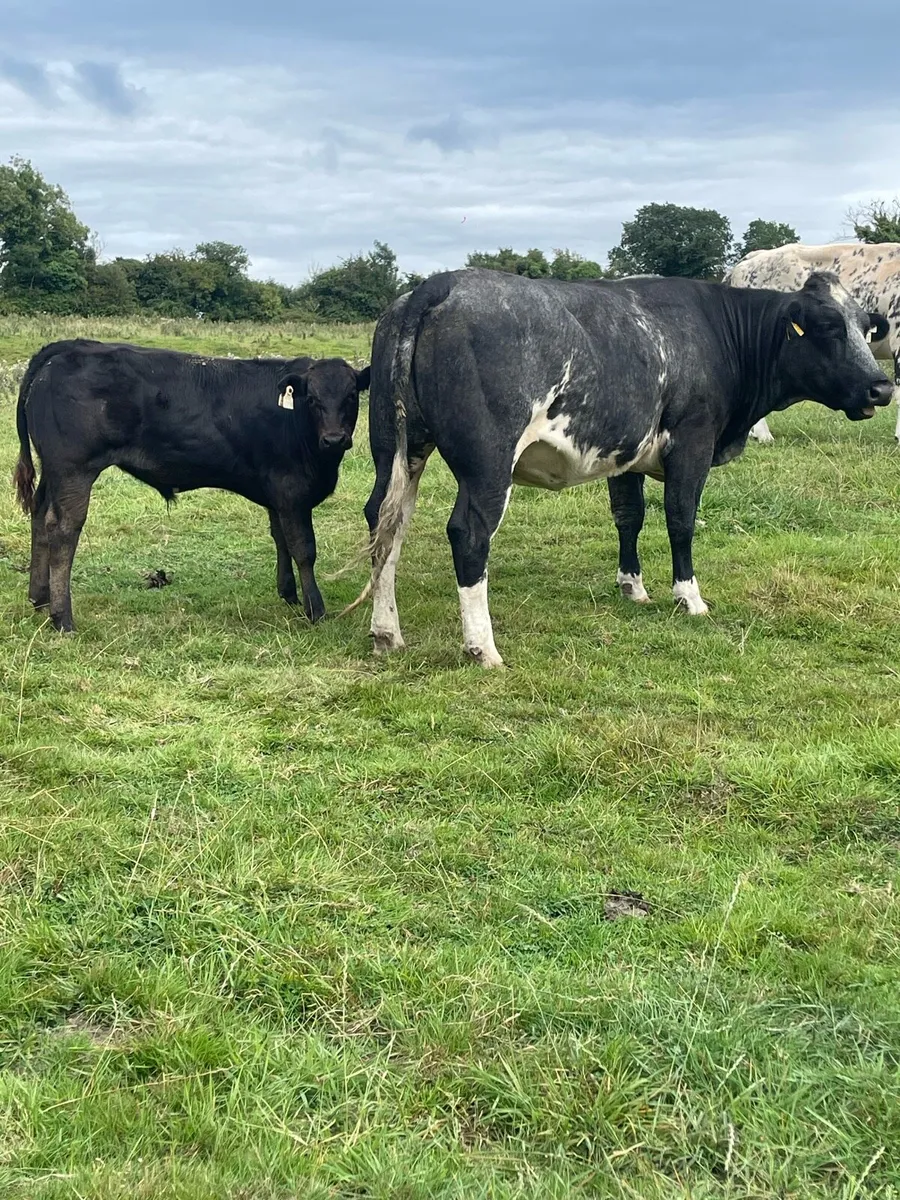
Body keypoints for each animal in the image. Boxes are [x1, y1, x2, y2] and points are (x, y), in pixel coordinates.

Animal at [13, 339, 369, 632]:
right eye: (313, 399)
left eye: (352, 396)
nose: (334, 438)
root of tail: (70, 346)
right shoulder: (292, 490)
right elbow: (303, 549)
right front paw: (316, 609)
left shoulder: (277, 494)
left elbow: (280, 539)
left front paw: (289, 593)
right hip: (73, 470)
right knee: (62, 529)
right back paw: (62, 619)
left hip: (53, 472)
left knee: (39, 517)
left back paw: (39, 599)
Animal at [346, 268, 891, 668]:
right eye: (828, 327)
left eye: (866, 328)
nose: (882, 387)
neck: (718, 332)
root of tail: (439, 284)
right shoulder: (693, 441)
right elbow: (680, 520)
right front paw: (689, 598)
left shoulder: (627, 452)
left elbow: (629, 517)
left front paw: (633, 587)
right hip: (487, 463)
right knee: (468, 532)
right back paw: (483, 646)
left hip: (396, 449)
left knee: (385, 523)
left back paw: (386, 631)